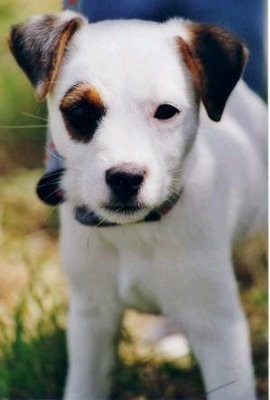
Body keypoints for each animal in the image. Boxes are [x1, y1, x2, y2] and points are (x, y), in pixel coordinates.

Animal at [8, 11, 266, 400]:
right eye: (80, 111)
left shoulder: (219, 327)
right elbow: (84, 386)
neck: (137, 231)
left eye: (166, 111)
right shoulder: (92, 319)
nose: (125, 178)